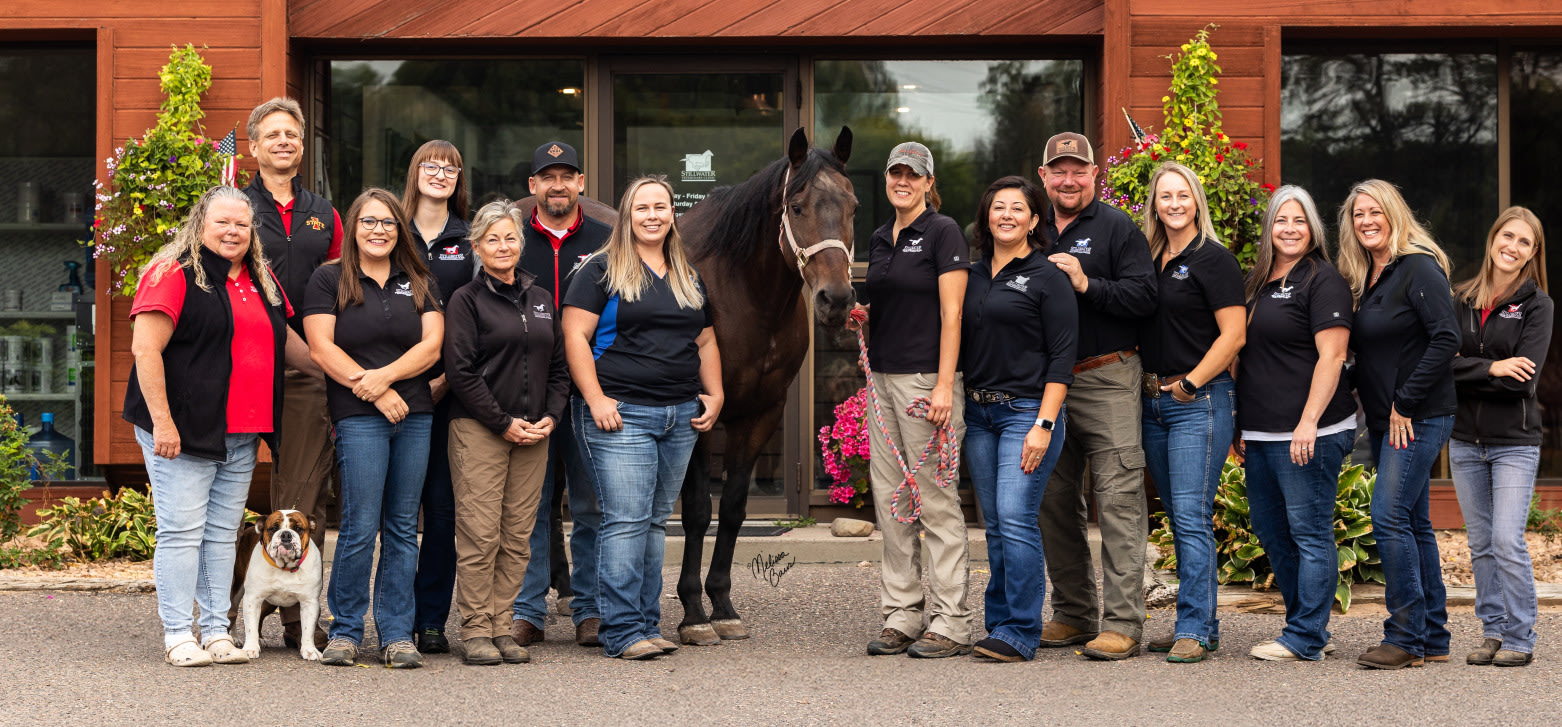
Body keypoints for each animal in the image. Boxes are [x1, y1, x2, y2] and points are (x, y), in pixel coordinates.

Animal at [677, 127, 862, 644]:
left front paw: (722, 606)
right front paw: (693, 613)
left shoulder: (761, 413)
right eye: (796, 206)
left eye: (854, 205)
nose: (836, 299)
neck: (738, 292)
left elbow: (734, 509)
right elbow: (697, 510)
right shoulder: (699, 414)